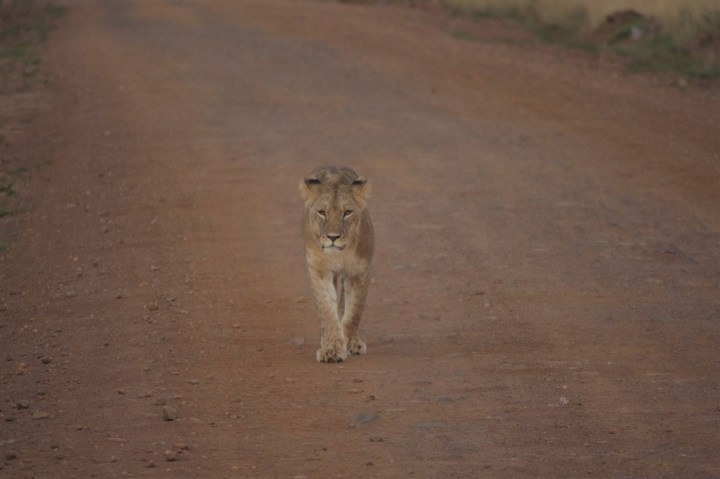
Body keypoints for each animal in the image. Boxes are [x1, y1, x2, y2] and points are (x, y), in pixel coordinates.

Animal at [299, 166, 374, 363]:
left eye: (347, 212)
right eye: (322, 212)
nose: (333, 237)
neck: (339, 254)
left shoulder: (358, 270)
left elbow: (354, 310)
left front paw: (351, 343)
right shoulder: (319, 270)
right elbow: (326, 309)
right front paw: (332, 348)